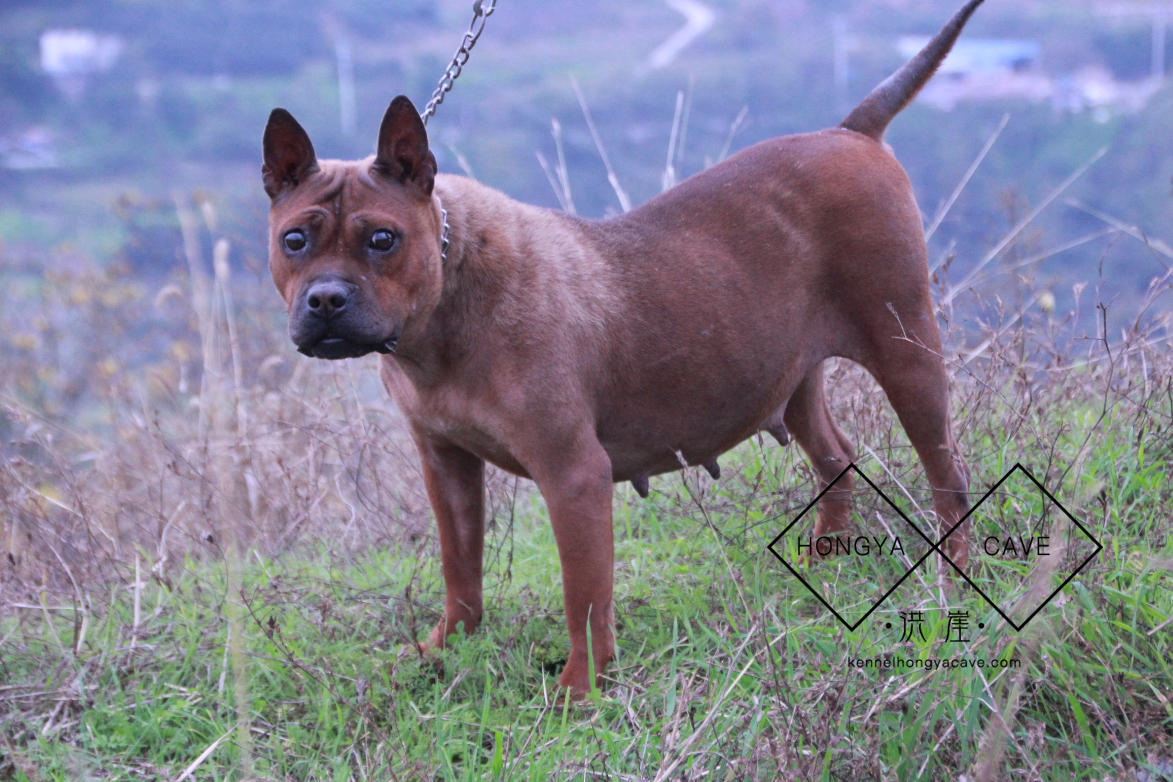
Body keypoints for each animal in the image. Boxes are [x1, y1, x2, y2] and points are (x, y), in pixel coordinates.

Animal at [263, 0, 980, 698]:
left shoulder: (572, 475)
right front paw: (445, 648)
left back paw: (956, 579)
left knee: (948, 478)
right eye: (294, 240)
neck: (447, 295)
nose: (325, 300)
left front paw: (581, 691)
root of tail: (851, 133)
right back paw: (820, 563)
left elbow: (583, 597)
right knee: (837, 460)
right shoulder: (446, 466)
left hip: (906, 354)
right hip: (794, 381)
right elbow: (459, 567)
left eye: (382, 239)